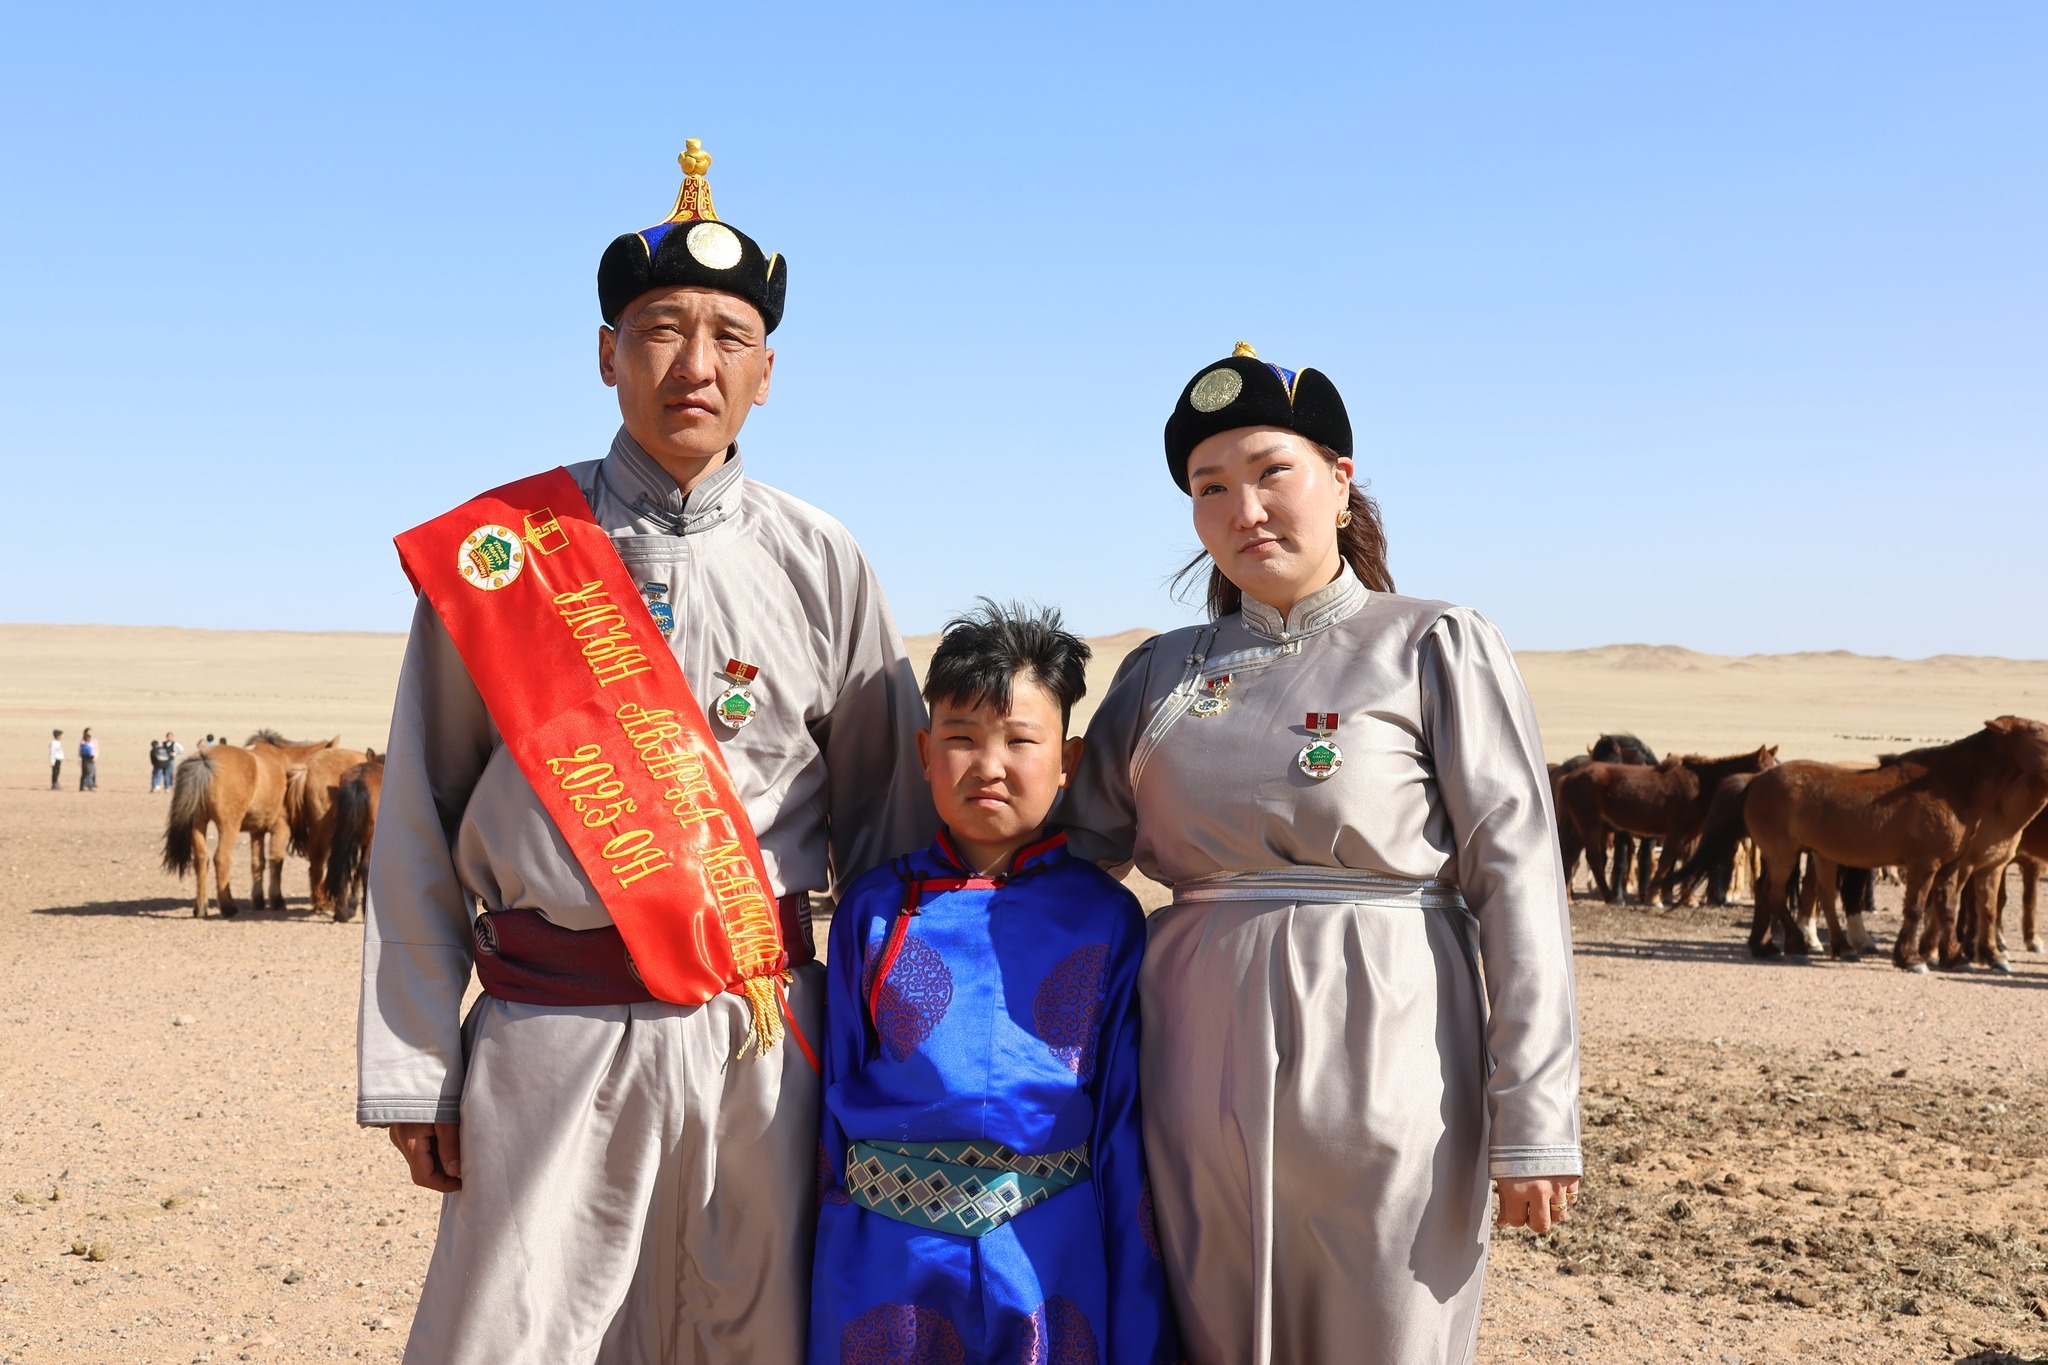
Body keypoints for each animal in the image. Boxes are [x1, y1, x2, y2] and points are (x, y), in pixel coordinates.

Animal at [161, 732, 337, 918]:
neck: (288, 763)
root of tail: (204, 760)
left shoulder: (257, 831)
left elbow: (257, 863)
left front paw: (259, 901)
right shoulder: (280, 828)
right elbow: (276, 861)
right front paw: (277, 900)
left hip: (198, 824)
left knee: (202, 859)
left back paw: (201, 908)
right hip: (229, 827)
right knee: (221, 859)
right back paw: (228, 907)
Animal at [1555, 746, 1779, 904]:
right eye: (1764, 768)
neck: (1701, 784)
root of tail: (1567, 777)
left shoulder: (1690, 836)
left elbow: (1685, 863)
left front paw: (1688, 899)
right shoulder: (1676, 833)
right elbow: (1665, 862)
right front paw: (1654, 898)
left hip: (1577, 828)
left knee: (1569, 856)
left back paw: (1569, 897)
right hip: (1589, 825)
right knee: (1592, 858)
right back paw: (1610, 897)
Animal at [1728, 718, 2048, 971]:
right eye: (2038, 732)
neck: (1952, 787)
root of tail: (1755, 782)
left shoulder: (1951, 866)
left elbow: (1946, 908)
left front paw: (1954, 957)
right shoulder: (1925, 864)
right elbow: (1916, 909)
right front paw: (1911, 959)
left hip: (1790, 855)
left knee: (1770, 891)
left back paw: (1770, 946)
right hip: (1783, 854)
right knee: (1775, 893)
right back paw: (1797, 944)